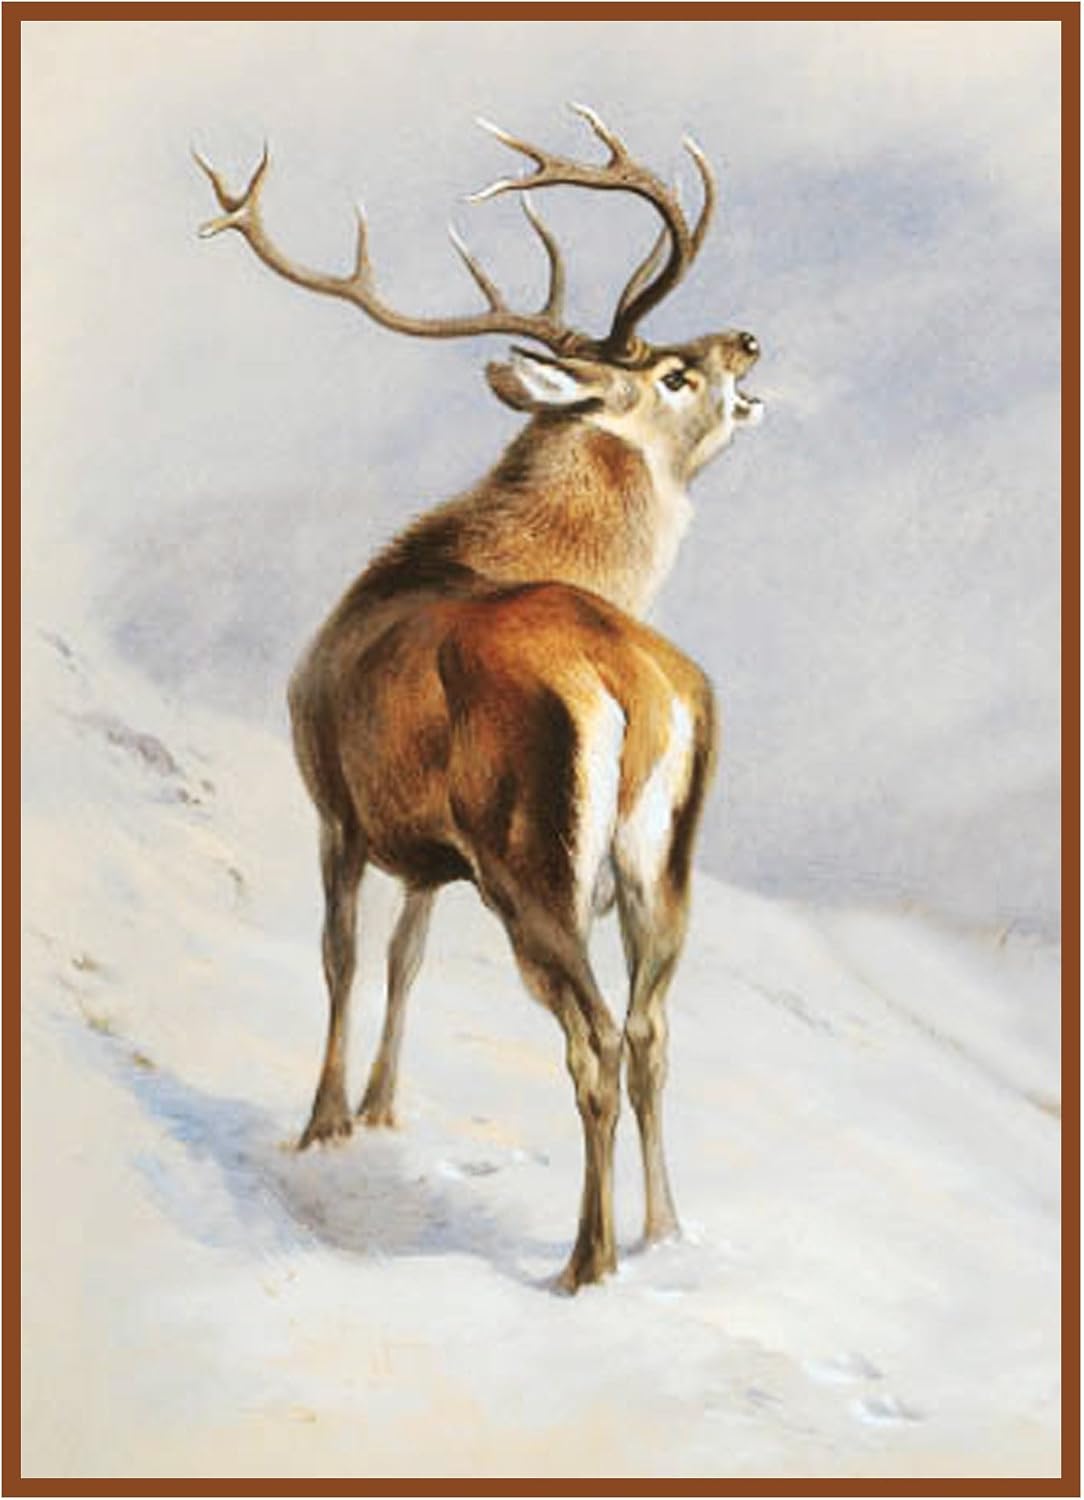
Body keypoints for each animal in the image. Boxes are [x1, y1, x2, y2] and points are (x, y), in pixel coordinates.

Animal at [196, 106, 762, 1291]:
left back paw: (585, 1261)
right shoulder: (401, 838)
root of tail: (637, 684)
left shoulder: (341, 811)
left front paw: (323, 1124)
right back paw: (660, 1232)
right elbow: (393, 958)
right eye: (672, 374)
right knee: (648, 1031)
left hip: (533, 857)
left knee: (594, 1039)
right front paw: (368, 1113)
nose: (746, 341)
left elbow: (341, 956)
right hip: (652, 866)